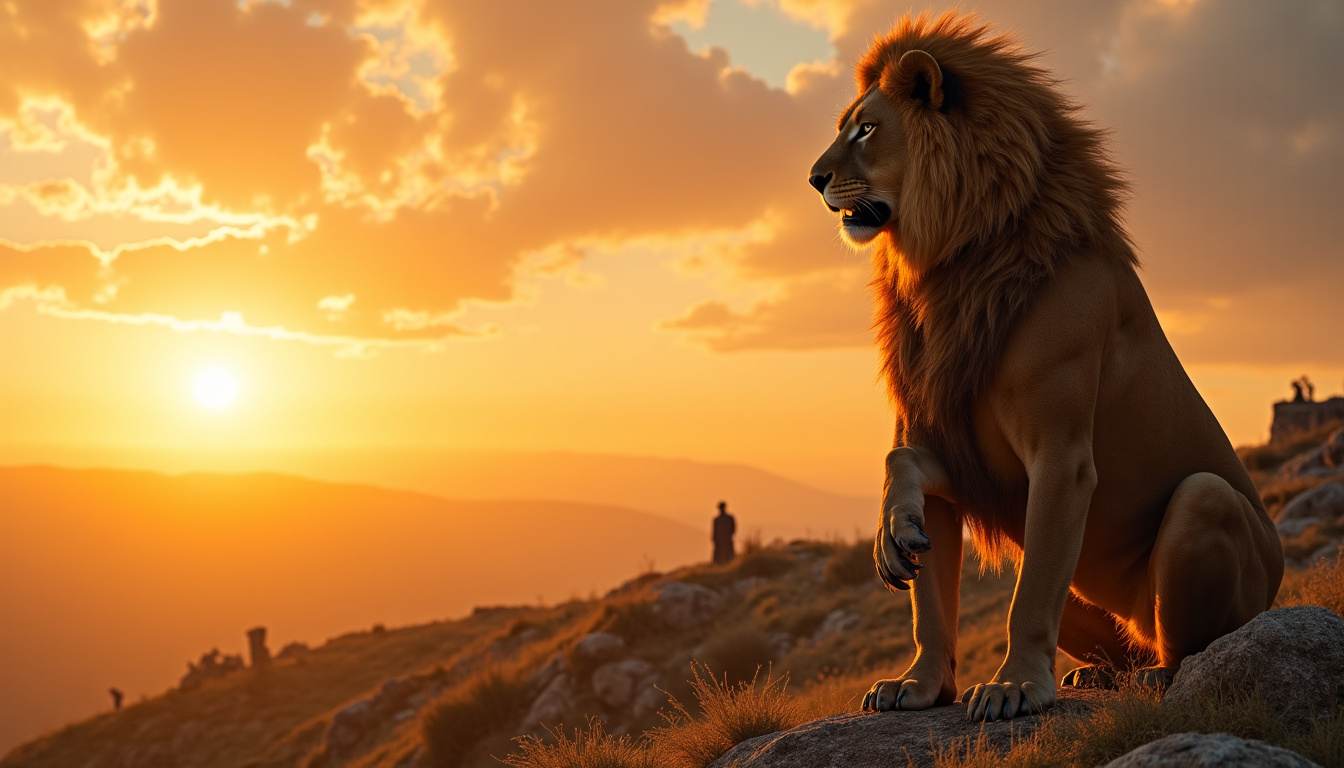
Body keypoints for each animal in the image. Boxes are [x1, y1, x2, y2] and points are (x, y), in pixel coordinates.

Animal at [807, 12, 1283, 722]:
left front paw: (1015, 686)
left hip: (1209, 512)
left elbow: (1028, 599)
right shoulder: (956, 444)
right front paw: (919, 680)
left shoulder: (1060, 456)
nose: (813, 179)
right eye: (847, 124)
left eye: (866, 128)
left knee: (1189, 638)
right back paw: (1099, 675)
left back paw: (1156, 678)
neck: (950, 267)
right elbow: (926, 584)